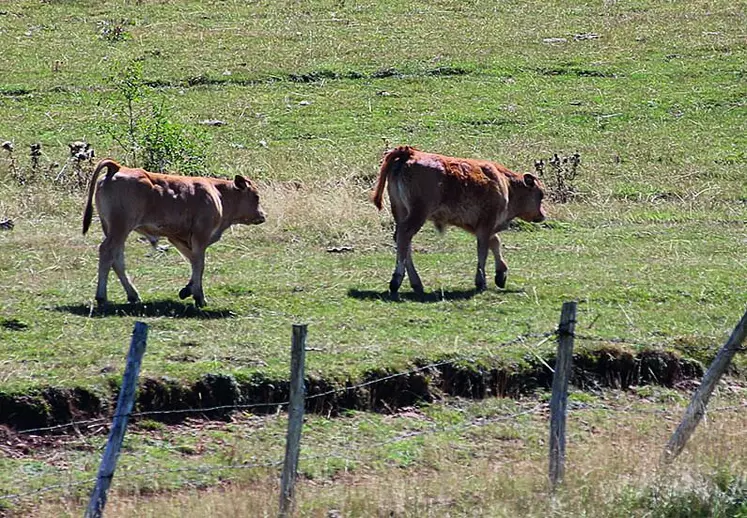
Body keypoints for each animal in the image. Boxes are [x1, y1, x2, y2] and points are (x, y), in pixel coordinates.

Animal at [84, 161, 266, 308]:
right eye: (256, 196)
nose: (263, 216)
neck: (218, 193)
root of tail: (117, 167)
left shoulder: (177, 237)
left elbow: (193, 261)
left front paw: (187, 290)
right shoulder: (200, 236)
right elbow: (199, 264)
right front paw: (199, 297)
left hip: (115, 231)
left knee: (117, 259)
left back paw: (133, 295)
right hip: (120, 229)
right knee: (107, 252)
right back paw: (102, 297)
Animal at [372, 148, 548, 298]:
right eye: (540, 194)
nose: (542, 215)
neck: (506, 184)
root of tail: (410, 153)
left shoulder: (480, 226)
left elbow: (495, 243)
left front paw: (501, 275)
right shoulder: (485, 225)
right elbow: (483, 250)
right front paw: (481, 282)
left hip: (400, 212)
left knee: (402, 241)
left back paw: (417, 285)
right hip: (417, 215)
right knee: (405, 237)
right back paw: (396, 282)